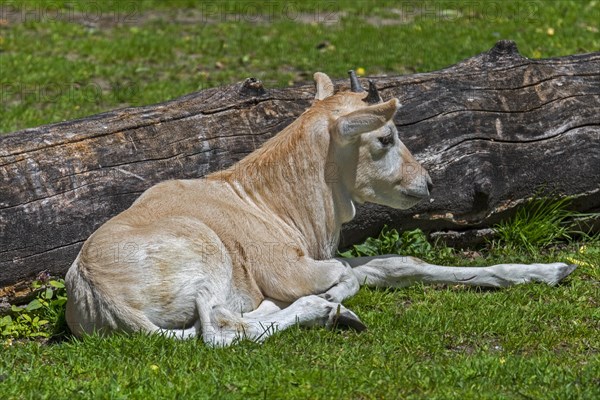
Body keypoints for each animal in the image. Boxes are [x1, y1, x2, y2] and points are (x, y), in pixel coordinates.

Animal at [65, 70, 576, 346]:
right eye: (385, 136)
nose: (427, 183)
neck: (262, 200)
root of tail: (96, 291)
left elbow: (399, 263)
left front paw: (552, 270)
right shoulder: (297, 269)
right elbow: (346, 276)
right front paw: (332, 299)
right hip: (208, 256)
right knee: (219, 330)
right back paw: (324, 310)